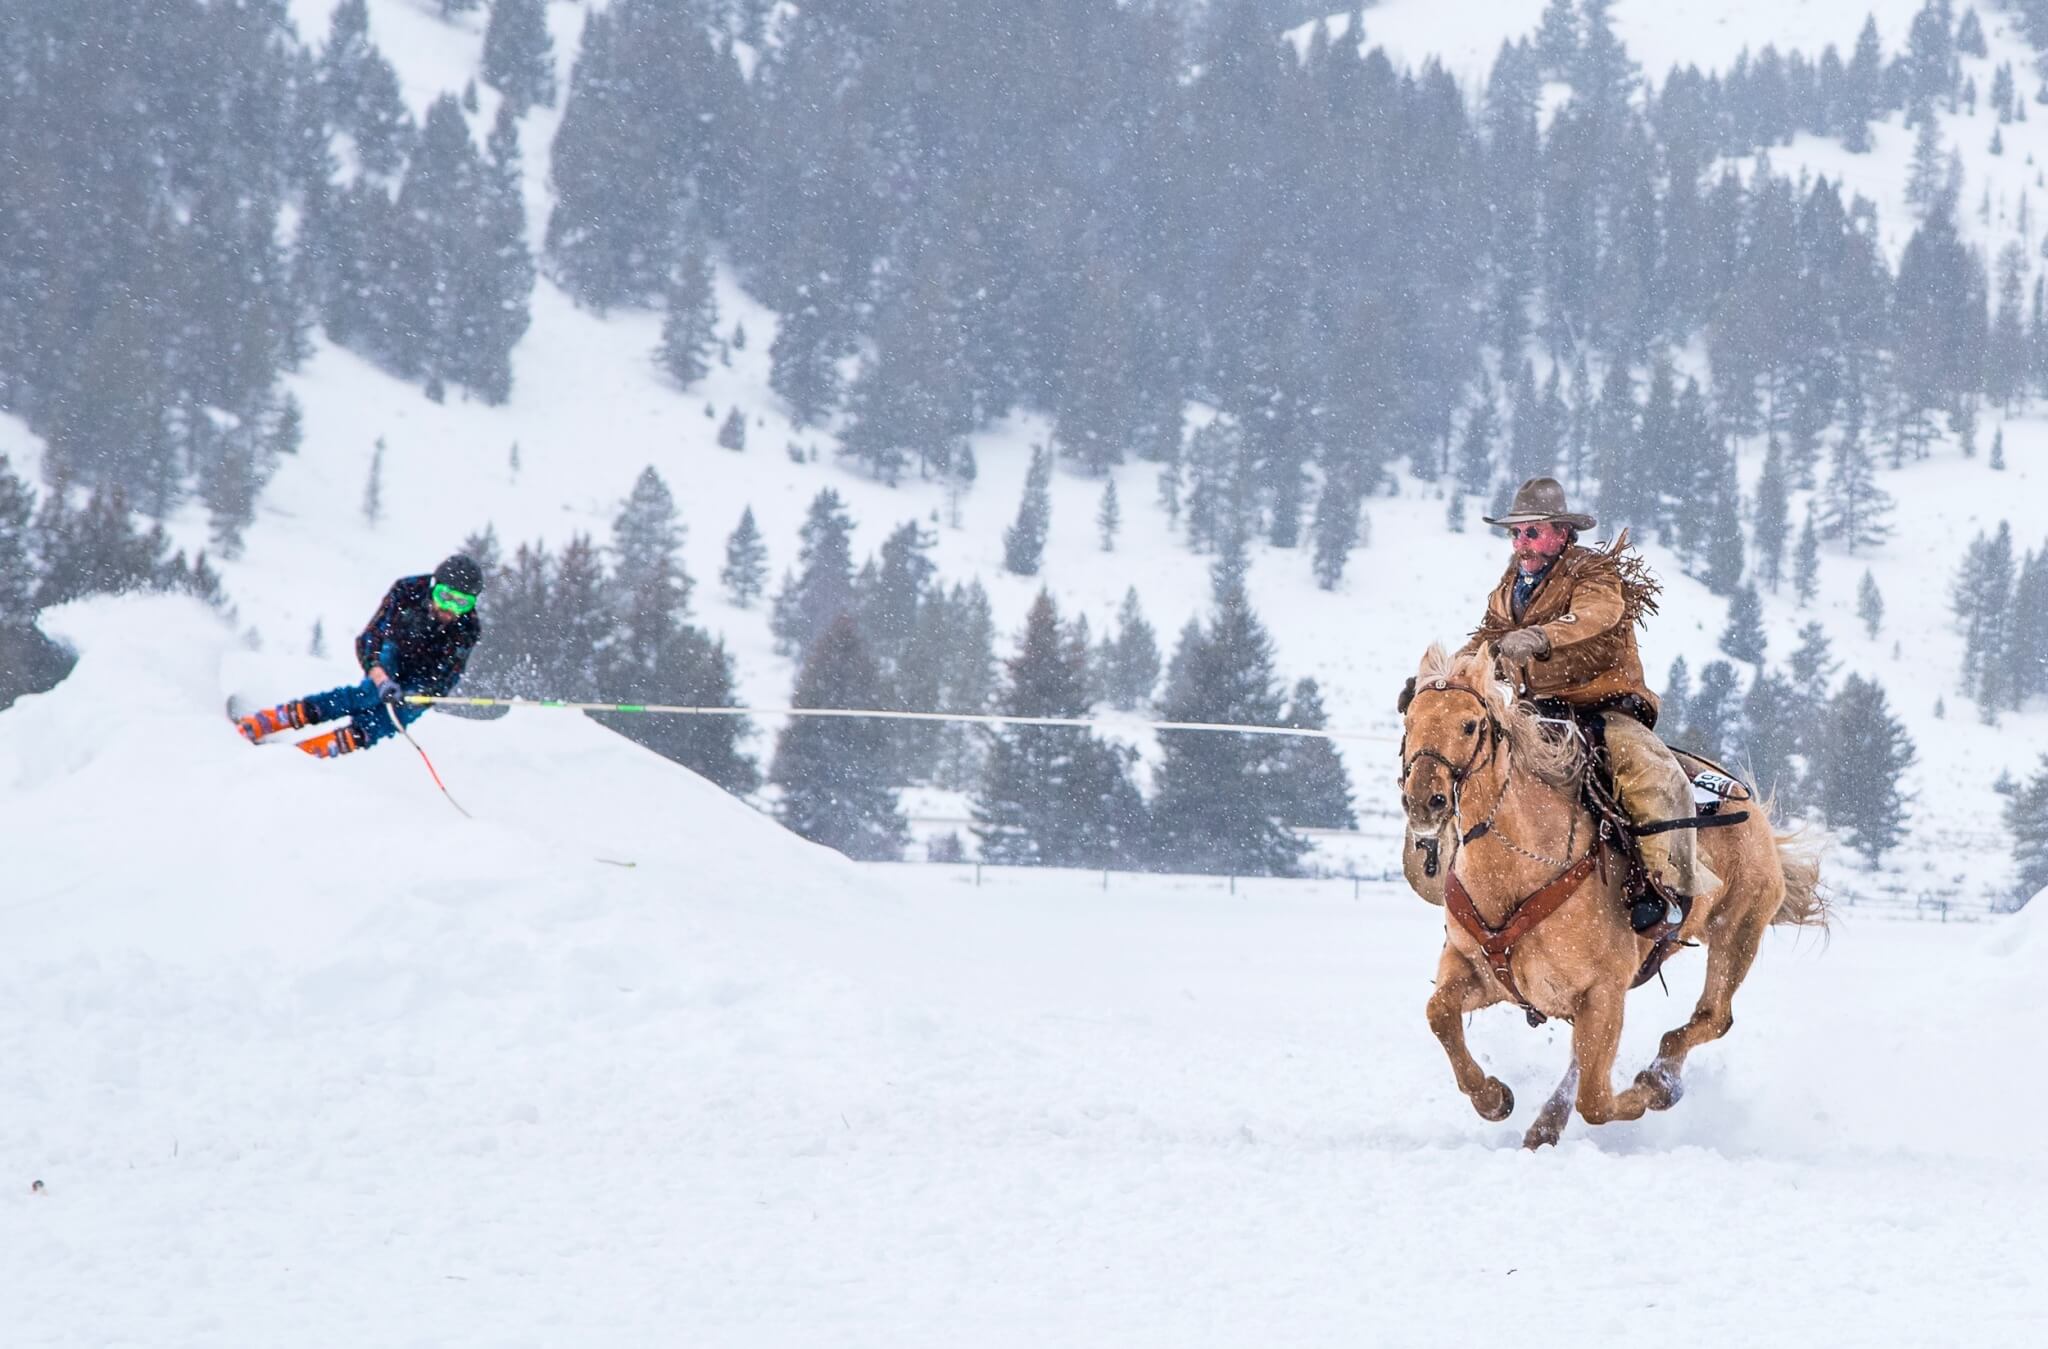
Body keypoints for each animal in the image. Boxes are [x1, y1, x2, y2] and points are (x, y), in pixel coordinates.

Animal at [1392, 642, 1826, 1154]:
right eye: (1409, 721)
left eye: (1469, 724)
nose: (1425, 800)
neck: (1520, 870)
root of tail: (1751, 807)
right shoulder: (1474, 968)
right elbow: (1439, 1013)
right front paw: (1493, 1098)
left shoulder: (1602, 991)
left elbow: (1596, 1101)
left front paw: (1646, 1095)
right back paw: (1545, 1126)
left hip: (1736, 932)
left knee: (1712, 1017)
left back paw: (1658, 1082)